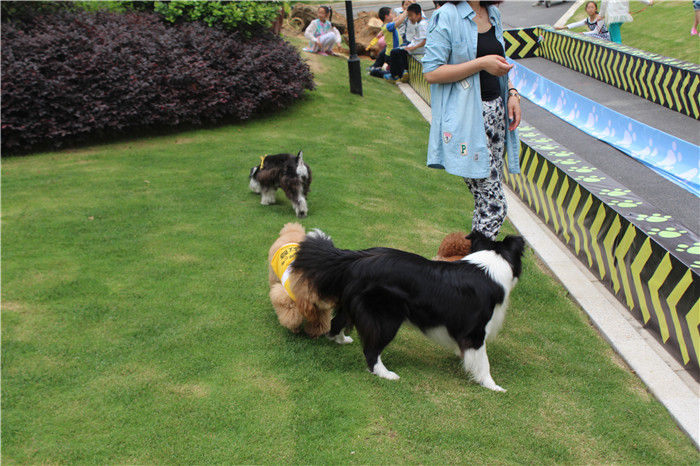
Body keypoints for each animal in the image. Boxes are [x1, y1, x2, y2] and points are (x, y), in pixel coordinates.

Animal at [292, 230, 526, 391]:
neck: (492, 263)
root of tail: (356, 259)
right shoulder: (476, 330)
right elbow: (483, 362)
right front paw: (493, 386)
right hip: (386, 319)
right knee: (371, 350)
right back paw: (385, 374)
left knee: (336, 323)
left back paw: (340, 340)